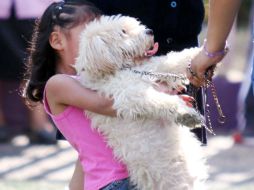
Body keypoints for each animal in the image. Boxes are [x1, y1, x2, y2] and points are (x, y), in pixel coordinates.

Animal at [74, 15, 207, 189]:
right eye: (123, 32)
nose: (150, 31)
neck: (119, 70)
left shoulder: (153, 69)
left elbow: (173, 60)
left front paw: (202, 52)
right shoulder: (131, 96)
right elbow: (162, 101)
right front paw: (188, 115)